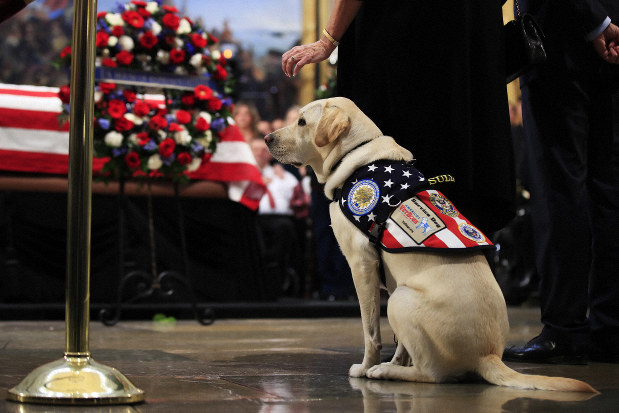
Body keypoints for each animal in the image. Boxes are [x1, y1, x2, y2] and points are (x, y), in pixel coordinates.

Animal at [266, 96, 596, 392]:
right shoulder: (391, 277)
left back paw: (385, 372)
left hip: (401, 301)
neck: (359, 156)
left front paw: (366, 366)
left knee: (432, 375)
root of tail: (489, 355)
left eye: (301, 122)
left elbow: (370, 331)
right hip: (401, 294)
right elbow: (401, 344)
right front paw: (396, 360)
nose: (267, 138)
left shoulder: (361, 264)